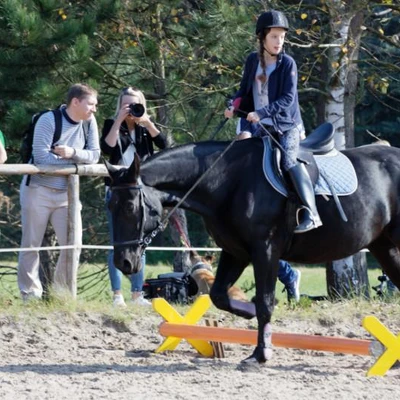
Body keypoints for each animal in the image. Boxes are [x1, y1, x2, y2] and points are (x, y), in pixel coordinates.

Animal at [105, 139, 400, 364]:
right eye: (111, 206)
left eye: (130, 206)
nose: (124, 262)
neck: (226, 182)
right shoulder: (235, 252)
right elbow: (220, 295)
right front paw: (246, 312)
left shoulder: (265, 251)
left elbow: (265, 302)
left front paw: (260, 354)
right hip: (384, 247)